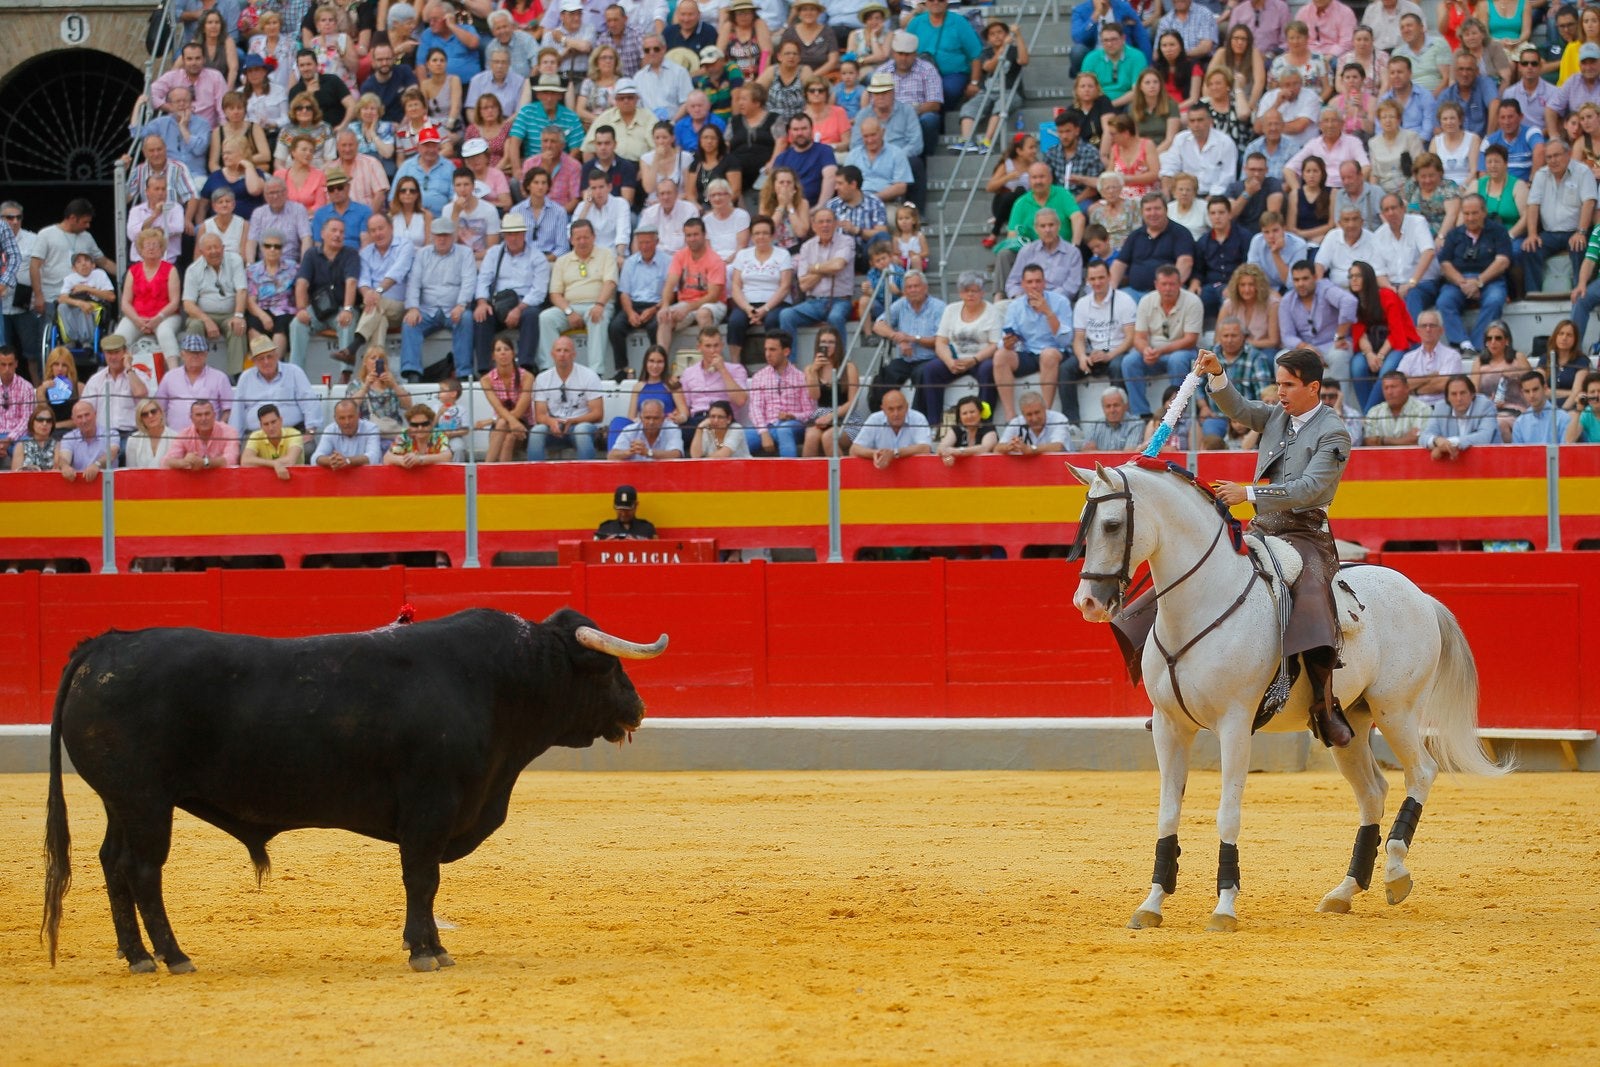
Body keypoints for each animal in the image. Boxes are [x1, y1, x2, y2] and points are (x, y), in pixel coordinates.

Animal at [42, 604, 668, 972]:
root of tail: (103, 645)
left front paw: (429, 945)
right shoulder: (430, 809)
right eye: (612, 669)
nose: (638, 709)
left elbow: (425, 883)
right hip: (146, 801)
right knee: (144, 870)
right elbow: (423, 879)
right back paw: (173, 956)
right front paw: (426, 951)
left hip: (121, 802)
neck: (497, 680)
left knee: (113, 864)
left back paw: (136, 956)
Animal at [1068, 463, 1504, 927]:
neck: (1202, 603)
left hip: (1397, 710)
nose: (1088, 602)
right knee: (1372, 792)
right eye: (1085, 525)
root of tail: (1419, 594)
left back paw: (1395, 872)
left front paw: (1224, 907)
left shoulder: (1235, 724)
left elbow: (1228, 814)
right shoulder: (1170, 727)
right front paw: (1151, 904)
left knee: (1420, 772)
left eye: (1112, 525)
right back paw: (1344, 891)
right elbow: (1167, 813)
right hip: (1350, 723)